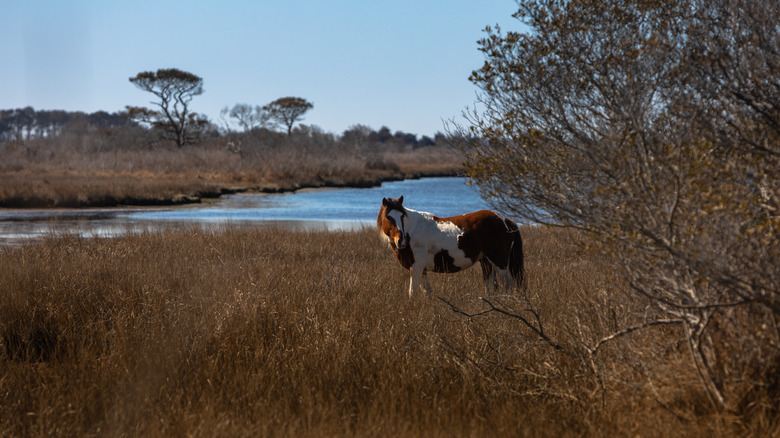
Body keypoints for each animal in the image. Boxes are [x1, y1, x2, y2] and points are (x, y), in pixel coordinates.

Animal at [376, 196, 524, 296]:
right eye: (388, 217)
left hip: (500, 262)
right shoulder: (422, 270)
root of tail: (504, 220)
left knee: (508, 284)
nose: (401, 241)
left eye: (402, 216)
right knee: (491, 285)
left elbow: (413, 292)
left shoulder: (416, 267)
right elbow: (428, 293)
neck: (412, 230)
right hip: (487, 261)